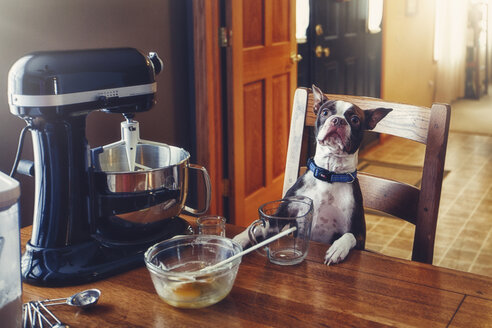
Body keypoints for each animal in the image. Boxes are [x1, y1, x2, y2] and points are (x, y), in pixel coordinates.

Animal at [234, 84, 392, 264]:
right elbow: (262, 226)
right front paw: (240, 239)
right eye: (325, 112)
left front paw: (337, 248)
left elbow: (348, 236)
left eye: (355, 120)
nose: (338, 120)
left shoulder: (359, 234)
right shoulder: (284, 213)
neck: (329, 175)